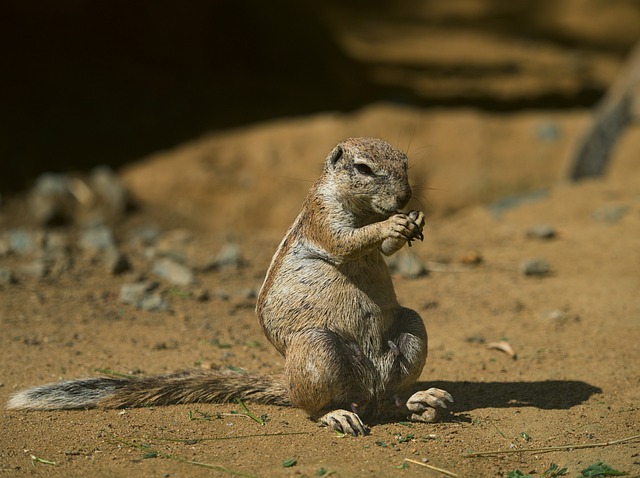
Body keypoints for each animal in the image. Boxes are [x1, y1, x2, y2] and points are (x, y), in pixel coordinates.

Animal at [7, 136, 452, 436]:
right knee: (318, 407)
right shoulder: (322, 217)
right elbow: (347, 241)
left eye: (406, 162)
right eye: (362, 169)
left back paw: (420, 400)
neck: (360, 208)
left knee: (390, 397)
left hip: (410, 328)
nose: (405, 196)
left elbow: (386, 250)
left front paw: (413, 221)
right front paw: (391, 224)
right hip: (318, 348)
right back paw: (338, 413)